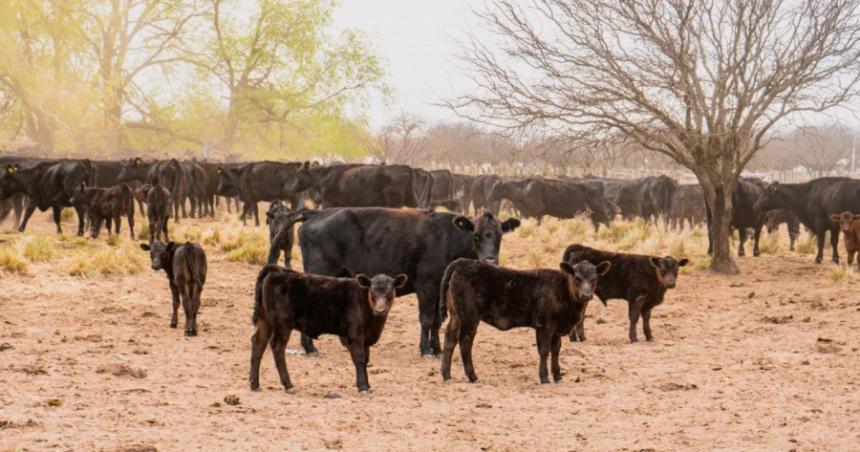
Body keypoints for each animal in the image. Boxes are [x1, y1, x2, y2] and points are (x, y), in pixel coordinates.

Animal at [252, 264, 406, 392]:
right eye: (373, 293)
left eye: (389, 294)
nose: (380, 311)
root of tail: (277, 271)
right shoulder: (354, 334)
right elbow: (360, 358)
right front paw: (363, 387)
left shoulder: (366, 338)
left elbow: (366, 360)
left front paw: (367, 385)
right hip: (282, 324)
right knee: (277, 347)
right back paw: (288, 385)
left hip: (265, 320)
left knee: (258, 342)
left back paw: (254, 384)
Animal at [272, 207, 520, 356]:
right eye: (476, 235)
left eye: (499, 235)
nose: (490, 260)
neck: (448, 238)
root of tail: (315, 212)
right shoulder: (426, 286)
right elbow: (426, 319)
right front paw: (425, 350)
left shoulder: (439, 289)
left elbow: (437, 321)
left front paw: (437, 348)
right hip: (319, 271)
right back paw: (310, 348)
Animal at [440, 260, 608, 384]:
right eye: (577, 279)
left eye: (594, 279)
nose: (586, 295)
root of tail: (464, 262)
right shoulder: (545, 325)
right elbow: (544, 350)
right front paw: (544, 377)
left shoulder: (556, 328)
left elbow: (556, 350)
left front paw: (557, 376)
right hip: (470, 316)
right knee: (465, 341)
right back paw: (472, 376)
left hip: (455, 315)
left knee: (450, 339)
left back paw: (446, 375)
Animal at [488, 177, 616, 230]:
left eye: (496, 187)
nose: (489, 197)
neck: (523, 189)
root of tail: (599, 184)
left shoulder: (537, 213)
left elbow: (537, 224)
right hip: (593, 213)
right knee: (597, 224)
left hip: (599, 210)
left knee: (606, 222)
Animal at [560, 244, 688, 342]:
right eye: (663, 270)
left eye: (676, 270)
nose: (671, 283)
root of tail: (582, 248)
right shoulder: (636, 297)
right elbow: (634, 317)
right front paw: (633, 338)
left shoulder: (647, 301)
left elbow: (646, 317)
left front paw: (649, 336)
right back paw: (575, 338)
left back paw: (579, 338)